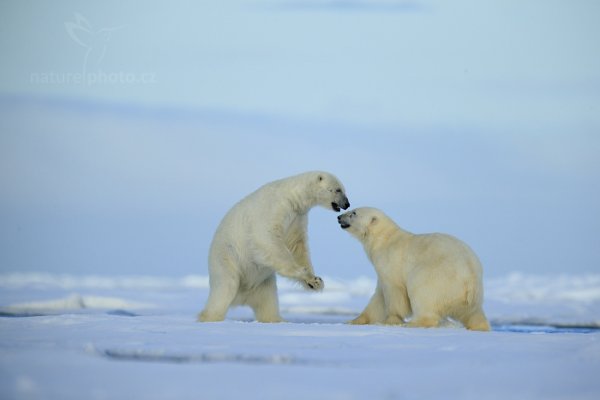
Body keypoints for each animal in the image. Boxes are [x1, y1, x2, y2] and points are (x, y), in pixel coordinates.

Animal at [197, 170, 352, 324]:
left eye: (343, 189)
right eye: (338, 189)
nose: (347, 204)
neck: (292, 197)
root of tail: (242, 297)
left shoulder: (297, 218)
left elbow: (297, 246)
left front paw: (315, 281)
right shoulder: (274, 209)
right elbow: (267, 239)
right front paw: (303, 273)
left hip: (263, 283)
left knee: (268, 303)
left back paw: (278, 320)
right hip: (227, 259)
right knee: (224, 289)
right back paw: (210, 317)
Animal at [336, 208, 490, 330]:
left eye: (354, 213)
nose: (339, 217)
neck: (383, 239)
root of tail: (470, 278)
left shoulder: (390, 262)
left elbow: (394, 292)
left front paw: (391, 320)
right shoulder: (382, 272)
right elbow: (378, 298)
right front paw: (353, 321)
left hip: (437, 277)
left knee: (422, 293)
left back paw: (413, 323)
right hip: (470, 296)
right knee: (473, 314)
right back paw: (480, 326)